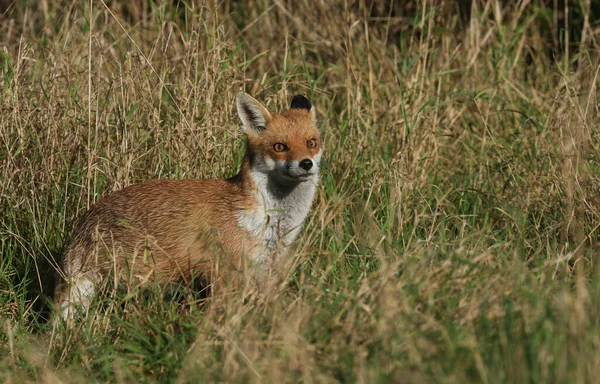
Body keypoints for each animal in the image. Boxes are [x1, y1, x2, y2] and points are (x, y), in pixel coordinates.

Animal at [54, 94, 322, 320]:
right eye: (280, 147)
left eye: (312, 143)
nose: (306, 164)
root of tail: (85, 220)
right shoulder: (223, 276)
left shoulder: (261, 273)